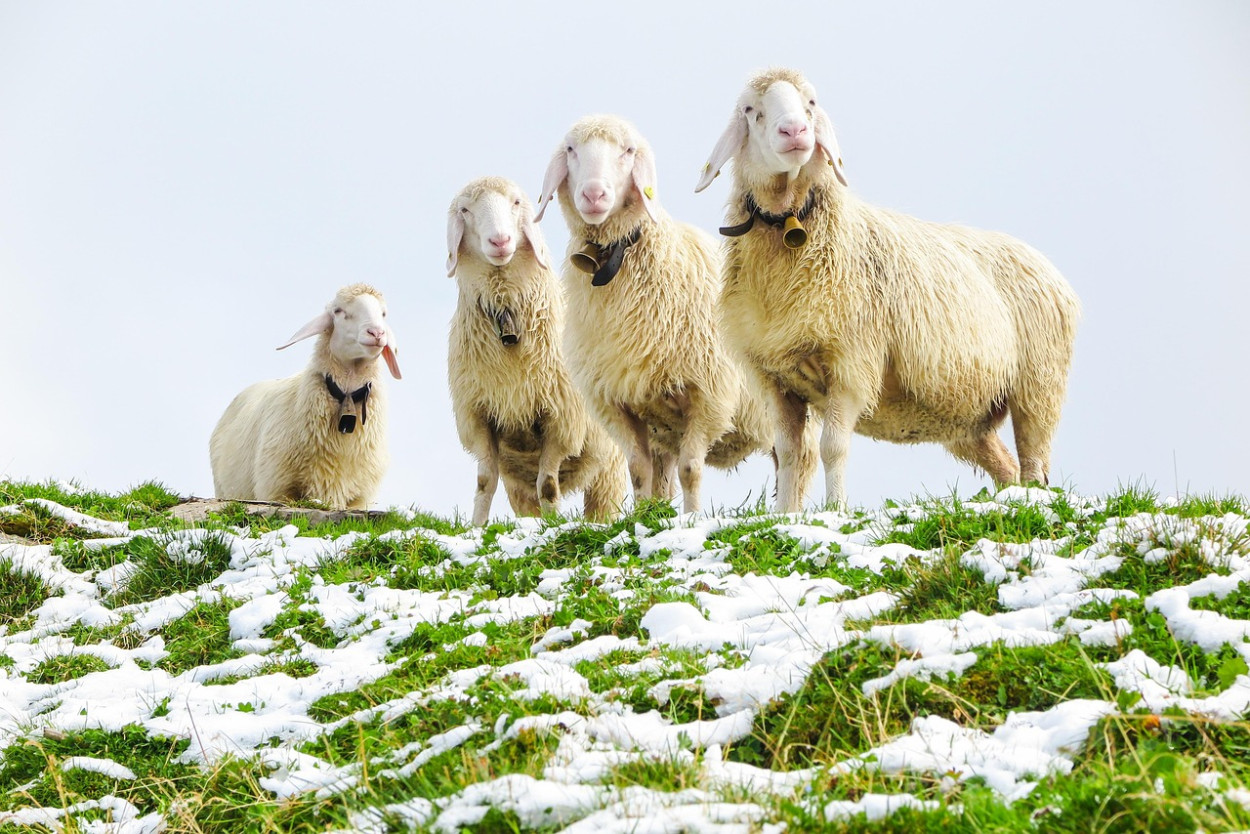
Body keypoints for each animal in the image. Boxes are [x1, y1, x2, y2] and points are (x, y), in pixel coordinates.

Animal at [446, 175, 628, 525]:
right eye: (465, 210)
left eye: (516, 202)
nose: (500, 241)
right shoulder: (480, 417)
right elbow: (485, 482)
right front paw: (477, 526)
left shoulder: (560, 421)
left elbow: (548, 486)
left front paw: (553, 526)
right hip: (518, 482)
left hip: (607, 467)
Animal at [534, 114, 774, 514]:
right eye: (570, 150)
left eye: (628, 151)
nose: (594, 195)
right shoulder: (618, 401)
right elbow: (637, 471)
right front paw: (643, 517)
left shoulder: (708, 392)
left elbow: (692, 469)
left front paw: (692, 518)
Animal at [695, 67, 1081, 512]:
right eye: (749, 109)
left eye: (811, 102)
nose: (795, 131)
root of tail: (1049, 268)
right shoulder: (774, 376)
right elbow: (791, 453)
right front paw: (785, 514)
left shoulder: (851, 363)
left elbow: (831, 448)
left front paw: (836, 509)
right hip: (972, 416)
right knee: (1006, 466)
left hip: (1038, 385)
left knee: (1035, 463)